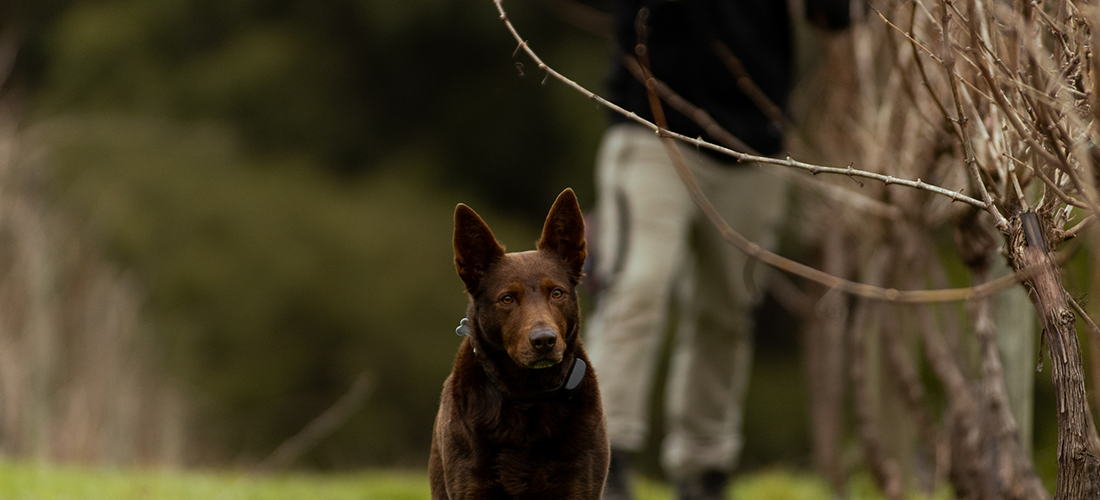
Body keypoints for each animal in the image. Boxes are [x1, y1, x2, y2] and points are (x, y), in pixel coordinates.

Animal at [429, 189, 611, 500]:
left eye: (557, 293)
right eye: (507, 299)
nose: (544, 340)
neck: (529, 396)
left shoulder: (579, 485)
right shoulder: (471, 486)